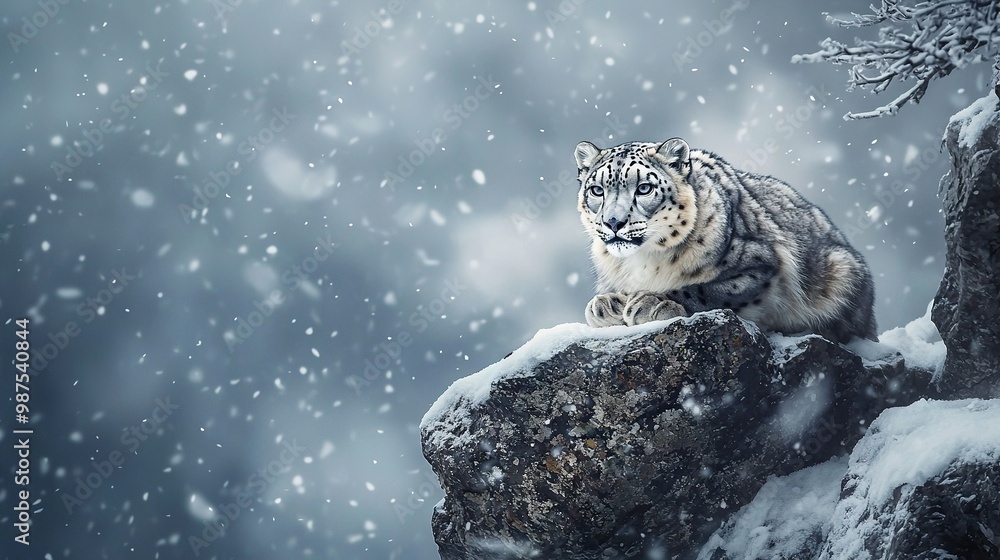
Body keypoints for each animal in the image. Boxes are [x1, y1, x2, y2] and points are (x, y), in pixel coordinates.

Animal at [580, 138, 876, 344]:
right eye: (597, 190)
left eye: (644, 188)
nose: (613, 222)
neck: (642, 259)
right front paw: (606, 304)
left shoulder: (758, 264)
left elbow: (707, 289)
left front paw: (652, 302)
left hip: (841, 269)